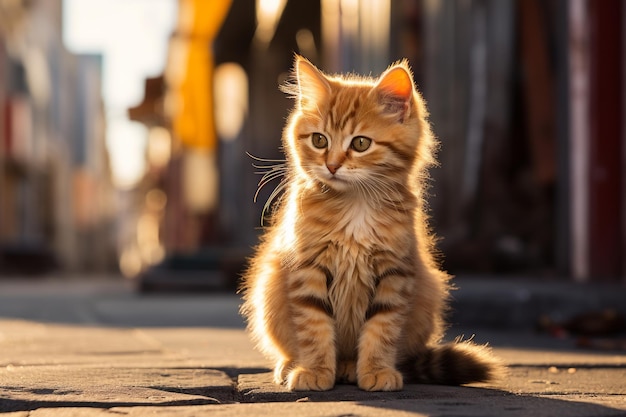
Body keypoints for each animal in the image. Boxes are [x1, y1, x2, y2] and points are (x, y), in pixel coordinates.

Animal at [239, 55, 502, 390]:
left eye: (361, 144)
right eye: (319, 140)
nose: (332, 165)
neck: (356, 203)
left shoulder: (396, 272)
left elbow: (381, 328)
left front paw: (376, 370)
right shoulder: (307, 267)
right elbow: (314, 326)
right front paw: (315, 369)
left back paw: (352, 366)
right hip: (268, 287)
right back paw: (294, 365)